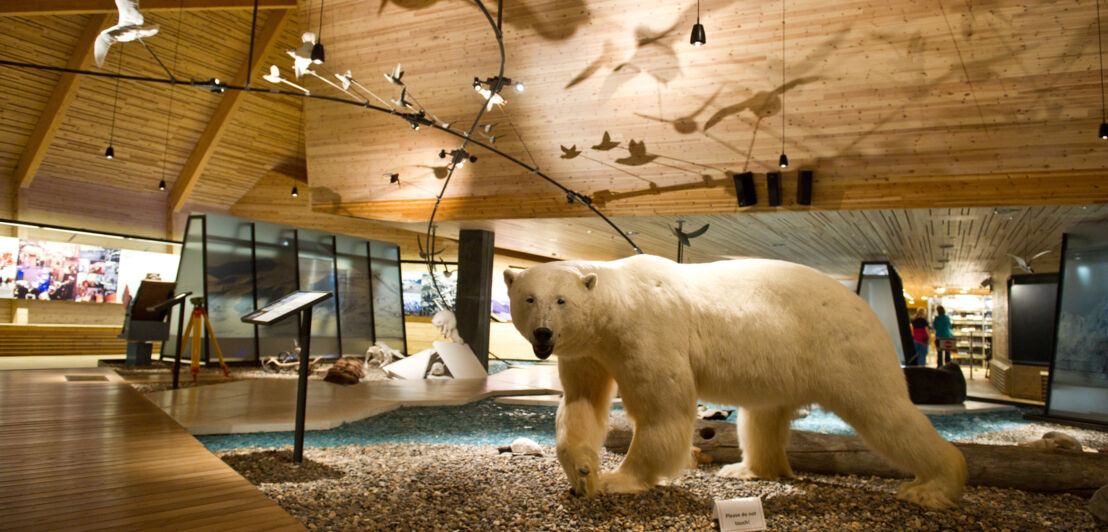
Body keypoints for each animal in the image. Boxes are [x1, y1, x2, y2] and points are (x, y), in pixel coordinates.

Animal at [507, 256, 966, 509]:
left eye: (561, 300)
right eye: (529, 298)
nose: (544, 333)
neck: (618, 302)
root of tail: (866, 309)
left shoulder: (649, 331)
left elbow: (663, 410)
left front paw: (619, 480)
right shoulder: (587, 351)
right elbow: (581, 402)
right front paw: (583, 473)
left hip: (845, 351)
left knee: (886, 415)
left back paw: (933, 486)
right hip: (784, 366)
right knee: (762, 418)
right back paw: (746, 469)